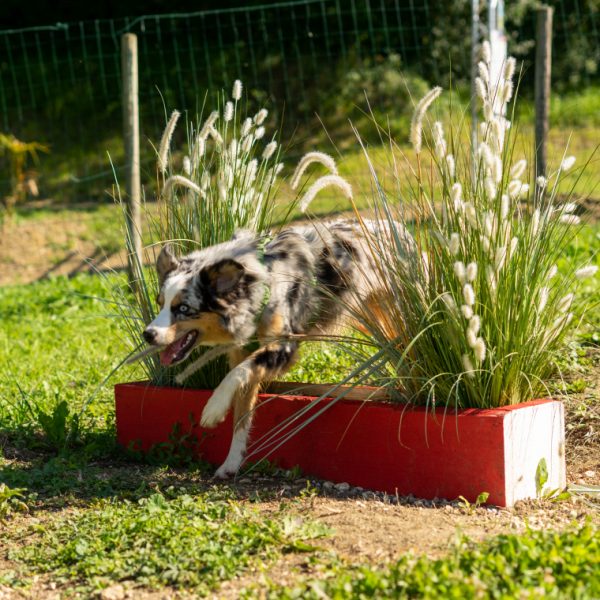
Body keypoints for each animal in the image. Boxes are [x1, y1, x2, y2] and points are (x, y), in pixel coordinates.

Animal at [145, 220, 414, 478]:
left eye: (184, 309)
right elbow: (241, 414)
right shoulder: (243, 353)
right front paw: (231, 463)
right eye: (160, 303)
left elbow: (233, 375)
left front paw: (214, 407)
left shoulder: (284, 347)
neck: (263, 281)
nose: (147, 335)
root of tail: (398, 228)